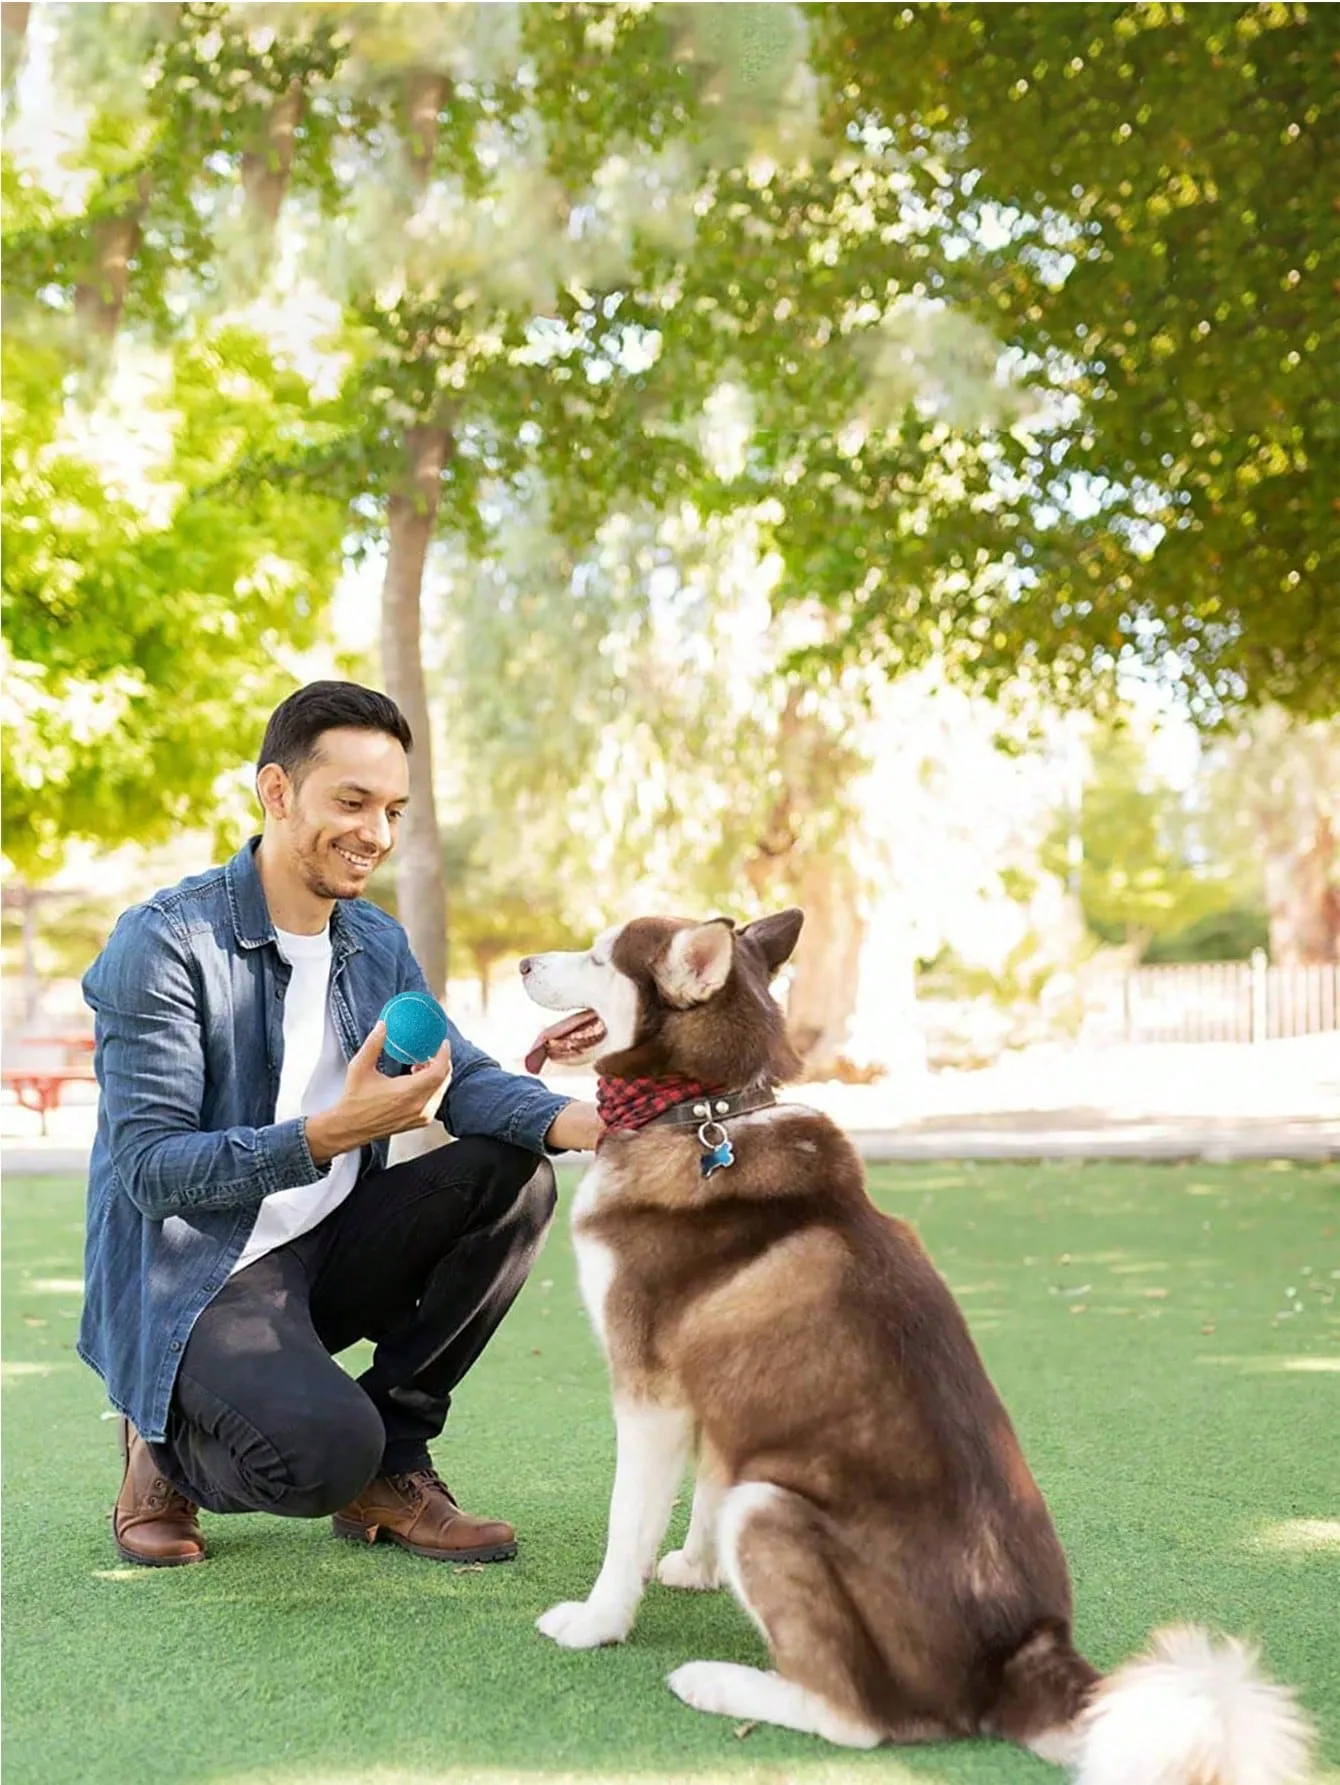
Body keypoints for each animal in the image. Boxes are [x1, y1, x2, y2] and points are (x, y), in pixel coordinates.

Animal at [517, 913, 1313, 1777]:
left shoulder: (650, 1392)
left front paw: (597, 1621)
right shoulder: (707, 1394)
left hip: (769, 1506)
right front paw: (694, 1568)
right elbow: (701, 1488)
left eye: (597, 955)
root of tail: (1023, 1654)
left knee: (858, 1717)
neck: (702, 1110)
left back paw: (719, 1682)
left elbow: (627, 1524)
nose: (522, 961)